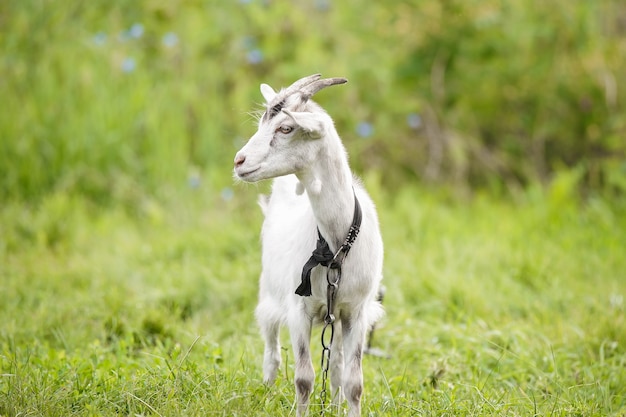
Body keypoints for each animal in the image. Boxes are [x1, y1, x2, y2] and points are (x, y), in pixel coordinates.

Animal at [233, 75, 382, 416]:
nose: (239, 161)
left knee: (337, 363)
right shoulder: (297, 309)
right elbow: (303, 379)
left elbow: (354, 382)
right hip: (269, 294)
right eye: (262, 123)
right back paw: (267, 391)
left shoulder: (357, 311)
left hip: (336, 316)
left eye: (286, 128)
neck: (335, 244)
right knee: (272, 350)